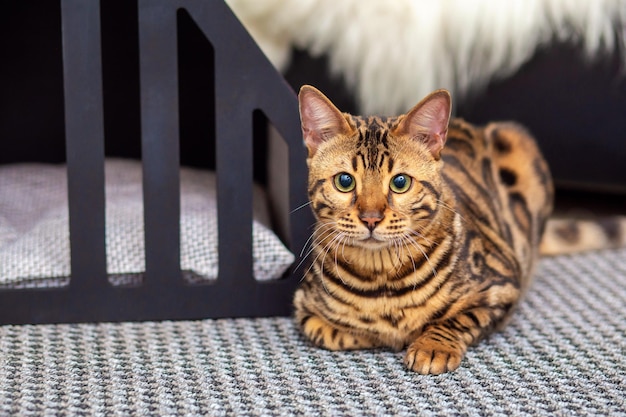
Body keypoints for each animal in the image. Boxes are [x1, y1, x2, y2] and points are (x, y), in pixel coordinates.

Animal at [292, 83, 624, 374]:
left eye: (400, 182)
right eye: (344, 181)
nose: (371, 218)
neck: (381, 279)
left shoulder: (502, 284)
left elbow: (457, 319)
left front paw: (432, 346)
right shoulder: (303, 307)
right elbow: (328, 331)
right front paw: (372, 333)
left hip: (516, 140)